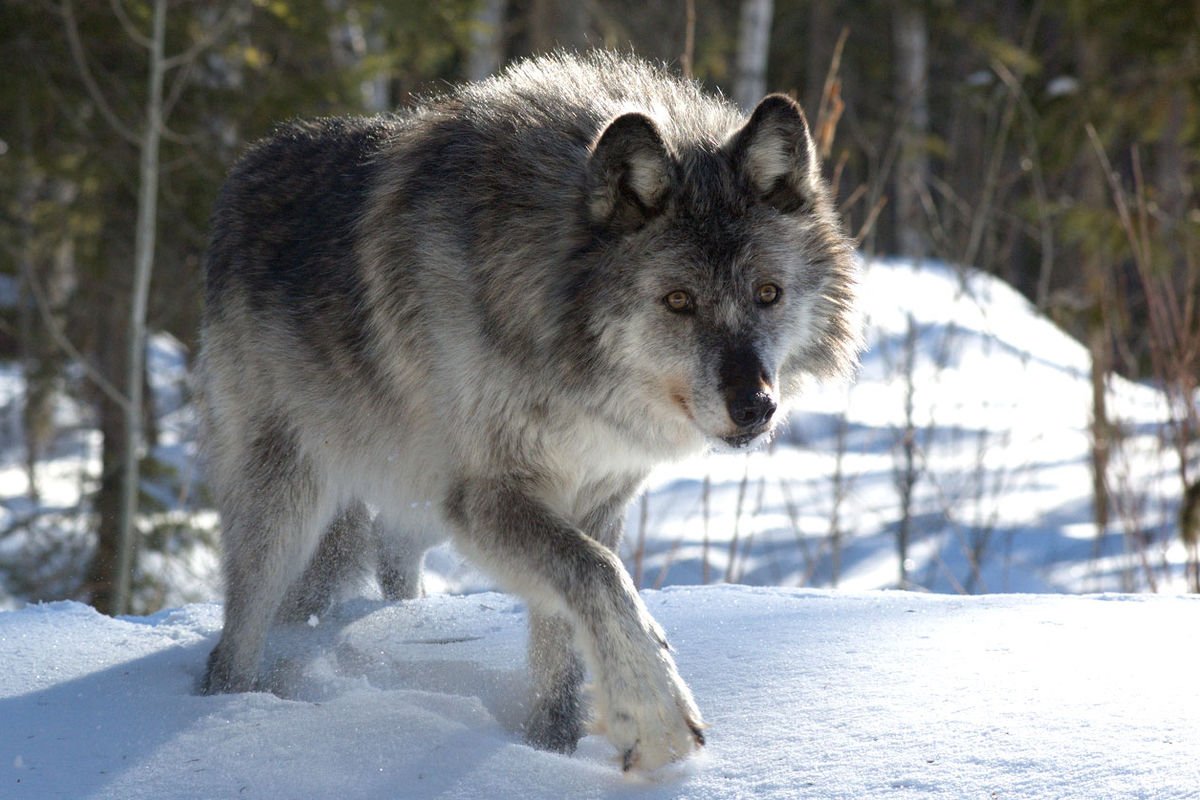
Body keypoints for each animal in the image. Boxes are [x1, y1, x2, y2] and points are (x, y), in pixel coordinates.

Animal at [196, 48, 859, 767]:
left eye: (768, 293)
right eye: (679, 301)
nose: (755, 406)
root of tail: (245, 167)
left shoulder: (593, 498)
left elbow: (562, 636)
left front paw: (549, 748)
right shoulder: (486, 496)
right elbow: (600, 576)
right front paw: (654, 713)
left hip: (412, 504)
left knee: (385, 555)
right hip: (292, 505)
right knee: (239, 634)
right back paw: (227, 710)